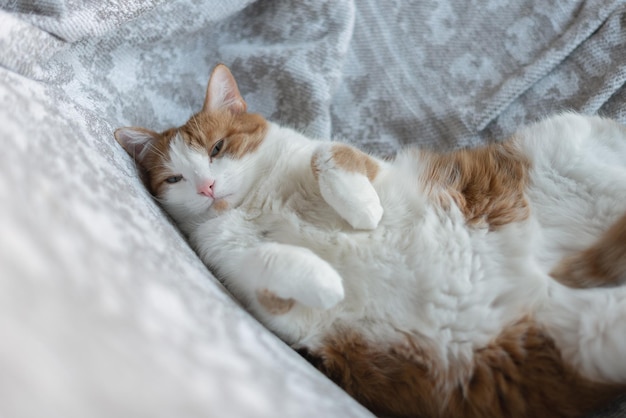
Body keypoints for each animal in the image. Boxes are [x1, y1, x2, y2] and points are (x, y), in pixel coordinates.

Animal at [114, 64, 624, 418]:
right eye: (175, 179)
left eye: (217, 148)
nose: (206, 188)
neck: (259, 201)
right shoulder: (276, 309)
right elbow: (266, 261)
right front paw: (325, 281)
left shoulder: (374, 168)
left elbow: (327, 154)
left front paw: (361, 210)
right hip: (591, 337)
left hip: (564, 145)